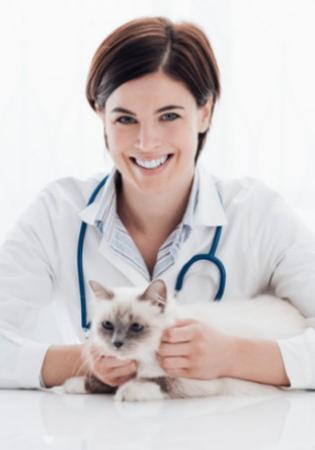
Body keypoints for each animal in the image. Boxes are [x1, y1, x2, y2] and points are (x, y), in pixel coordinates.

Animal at [63, 278, 310, 400]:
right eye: (107, 325)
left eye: (136, 327)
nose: (116, 344)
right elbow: (104, 381)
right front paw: (72, 386)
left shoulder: (199, 382)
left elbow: (158, 381)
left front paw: (129, 391)